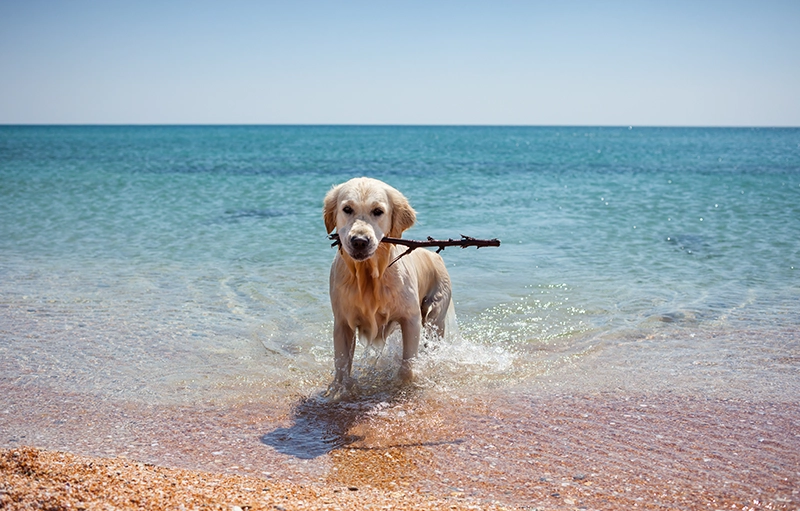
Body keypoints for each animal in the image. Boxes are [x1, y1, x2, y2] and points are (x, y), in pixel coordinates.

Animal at [324, 178, 450, 398]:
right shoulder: (342, 322)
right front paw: (339, 391)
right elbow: (341, 366)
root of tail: (435, 255)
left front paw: (404, 385)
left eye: (378, 211)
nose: (359, 241)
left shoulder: (411, 318)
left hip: (435, 318)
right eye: (347, 209)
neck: (369, 275)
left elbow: (407, 365)